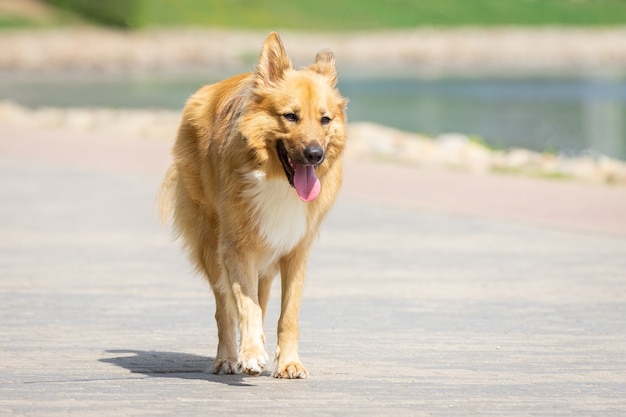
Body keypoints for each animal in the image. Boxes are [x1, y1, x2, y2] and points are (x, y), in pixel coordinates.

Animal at [158, 32, 346, 376]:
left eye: (325, 119)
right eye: (290, 116)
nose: (315, 155)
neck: (276, 179)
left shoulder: (295, 251)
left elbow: (287, 315)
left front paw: (288, 362)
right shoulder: (237, 248)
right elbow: (246, 306)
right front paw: (251, 353)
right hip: (211, 244)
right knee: (224, 310)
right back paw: (228, 358)